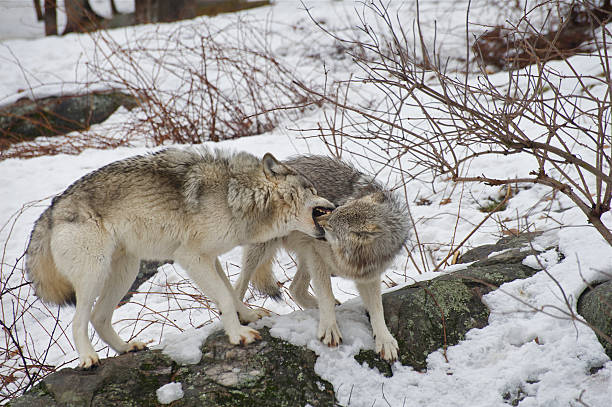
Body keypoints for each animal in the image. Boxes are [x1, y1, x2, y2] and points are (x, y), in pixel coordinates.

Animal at [26, 147, 334, 370]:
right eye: (313, 190)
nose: (333, 205)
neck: (237, 196)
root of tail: (52, 209)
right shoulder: (191, 257)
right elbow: (224, 297)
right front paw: (239, 335)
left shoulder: (210, 257)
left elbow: (231, 293)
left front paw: (247, 316)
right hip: (94, 273)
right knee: (79, 321)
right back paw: (88, 358)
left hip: (125, 271)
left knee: (99, 317)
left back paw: (126, 348)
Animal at [234, 155, 412, 360]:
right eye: (336, 210)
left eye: (332, 225)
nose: (316, 217)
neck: (352, 260)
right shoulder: (316, 252)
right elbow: (326, 295)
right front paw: (329, 329)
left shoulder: (369, 276)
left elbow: (377, 308)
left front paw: (385, 340)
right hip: (263, 251)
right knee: (238, 287)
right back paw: (242, 317)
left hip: (302, 257)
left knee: (295, 288)